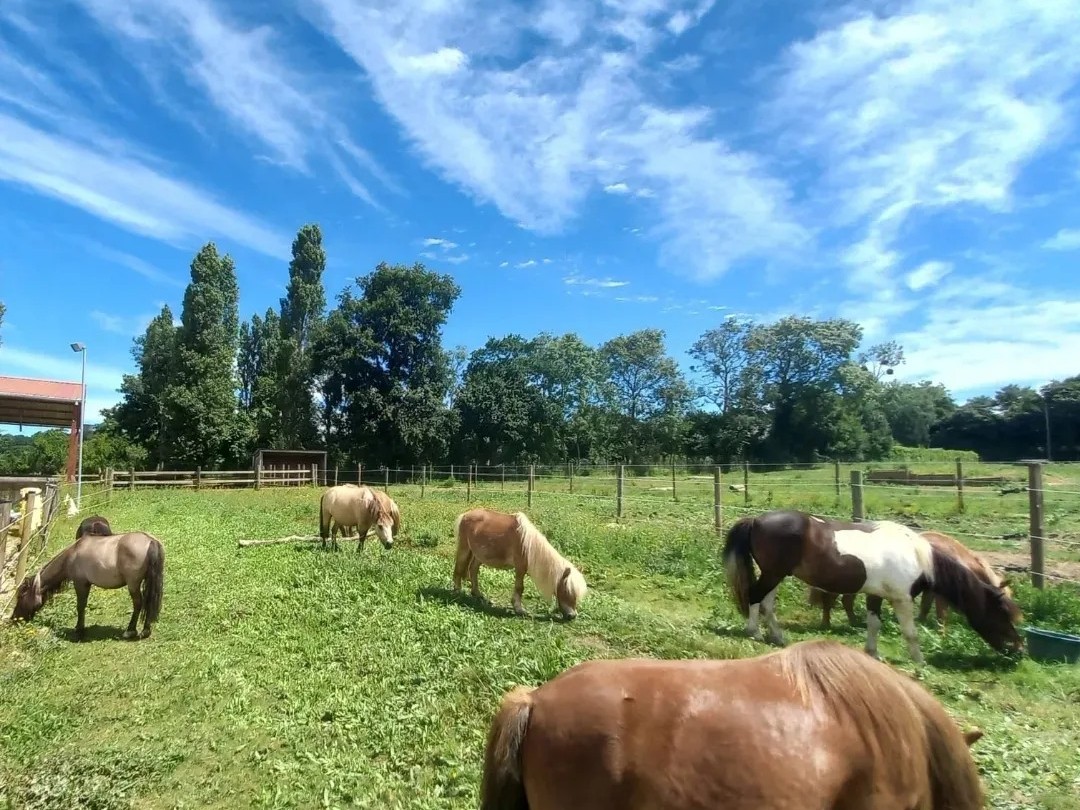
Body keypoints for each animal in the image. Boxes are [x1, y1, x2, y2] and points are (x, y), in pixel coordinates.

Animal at [8, 529, 164, 643]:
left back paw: (131, 631)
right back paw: (145, 630)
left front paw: (79, 630)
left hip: (133, 584)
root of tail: (150, 541)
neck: (72, 554)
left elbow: (80, 606)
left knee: (138, 604)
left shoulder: (80, 583)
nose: (14, 619)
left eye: (21, 596)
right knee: (148, 602)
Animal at [451, 507, 587, 622]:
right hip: (464, 549)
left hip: (478, 555)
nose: (572, 616)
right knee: (459, 569)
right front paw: (519, 609)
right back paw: (458, 592)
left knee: (473, 570)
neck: (527, 544)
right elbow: (520, 588)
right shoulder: (520, 568)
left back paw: (478, 594)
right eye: (567, 590)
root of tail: (465, 515)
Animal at [807, 529, 1015, 639]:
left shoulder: (929, 592)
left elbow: (925, 607)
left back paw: (854, 623)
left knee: (845, 602)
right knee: (829, 601)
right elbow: (942, 613)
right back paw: (827, 624)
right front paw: (941, 634)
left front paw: (922, 623)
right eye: (1002, 606)